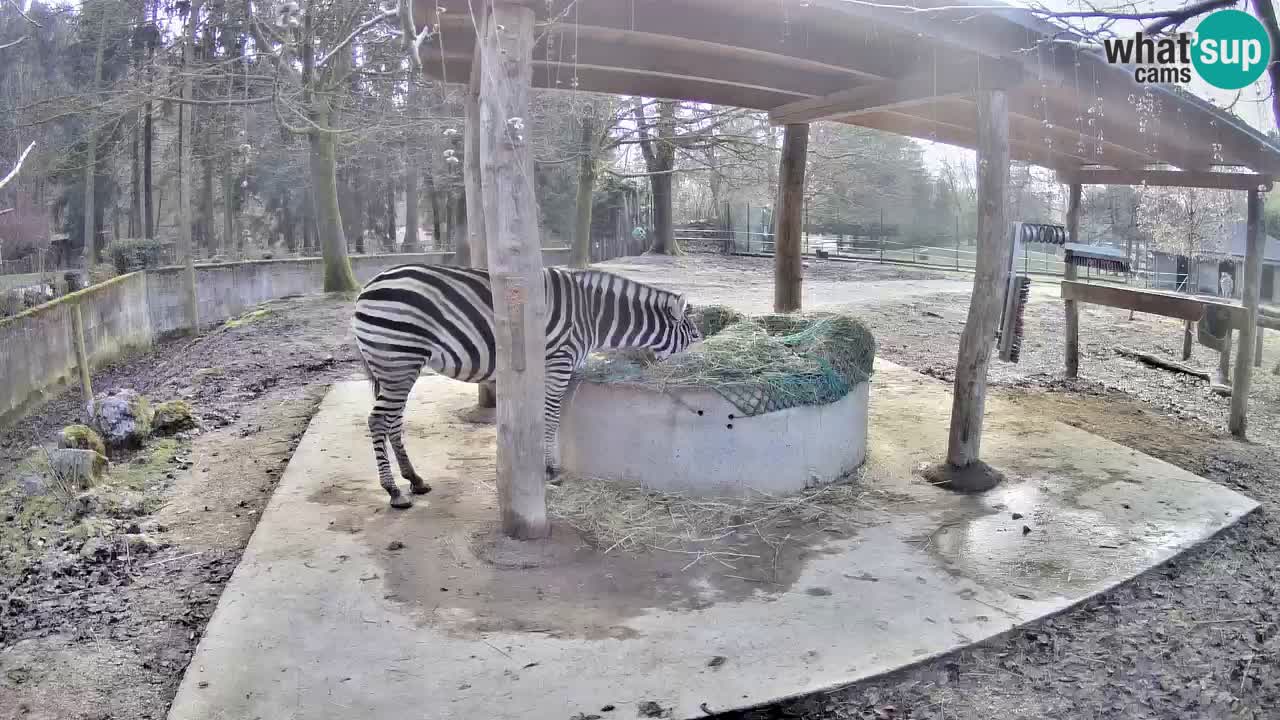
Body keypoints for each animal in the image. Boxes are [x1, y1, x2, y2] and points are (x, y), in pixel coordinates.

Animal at [353, 262, 701, 504]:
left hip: (398, 367)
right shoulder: (558, 362)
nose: (704, 350)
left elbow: (550, 419)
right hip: (398, 359)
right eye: (694, 334)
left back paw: (415, 479)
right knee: (377, 421)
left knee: (393, 421)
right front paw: (550, 470)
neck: (594, 316)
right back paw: (393, 490)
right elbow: (551, 418)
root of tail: (368, 286)